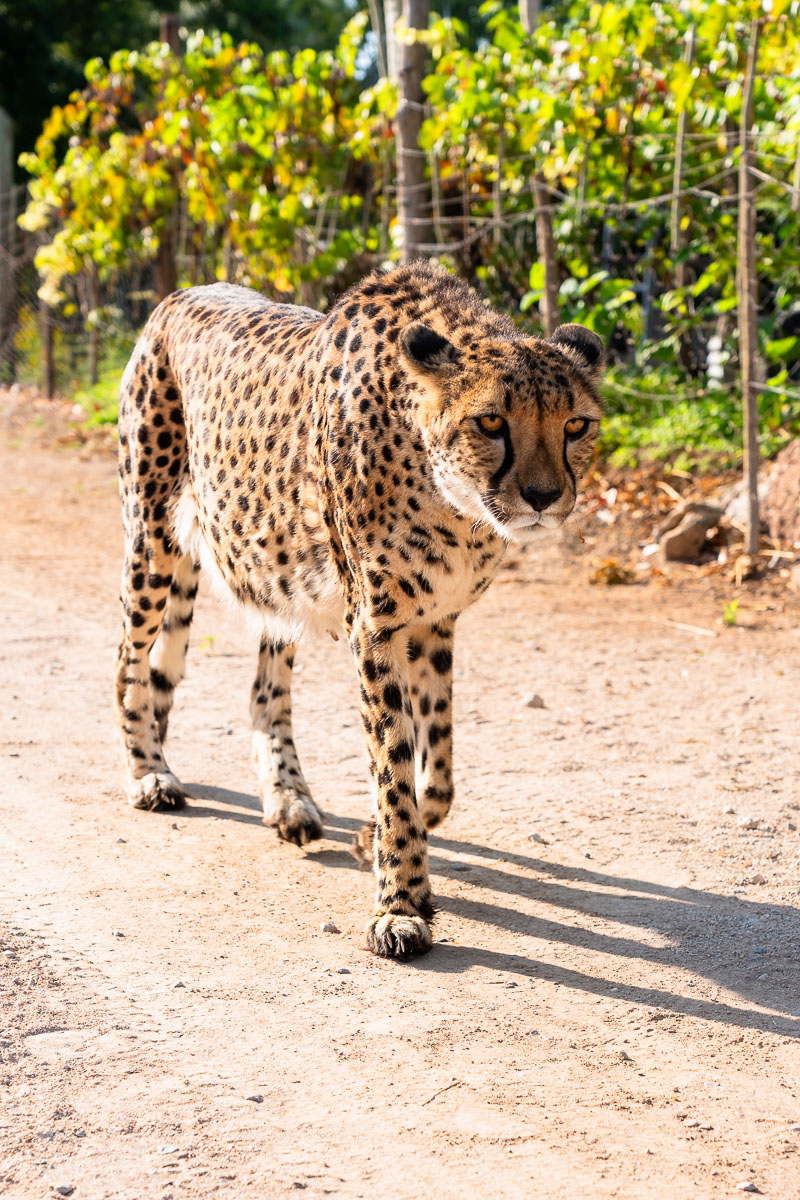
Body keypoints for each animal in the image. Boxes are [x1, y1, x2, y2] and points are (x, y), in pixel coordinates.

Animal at [113, 260, 604, 960]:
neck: (450, 498)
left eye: (576, 426)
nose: (543, 496)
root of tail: (181, 294)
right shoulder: (374, 624)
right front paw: (398, 904)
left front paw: (374, 841)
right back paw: (149, 774)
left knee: (262, 689)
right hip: (153, 542)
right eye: (490, 423)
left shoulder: (433, 621)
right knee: (128, 663)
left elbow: (436, 772)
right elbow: (393, 764)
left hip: (276, 569)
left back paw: (288, 800)